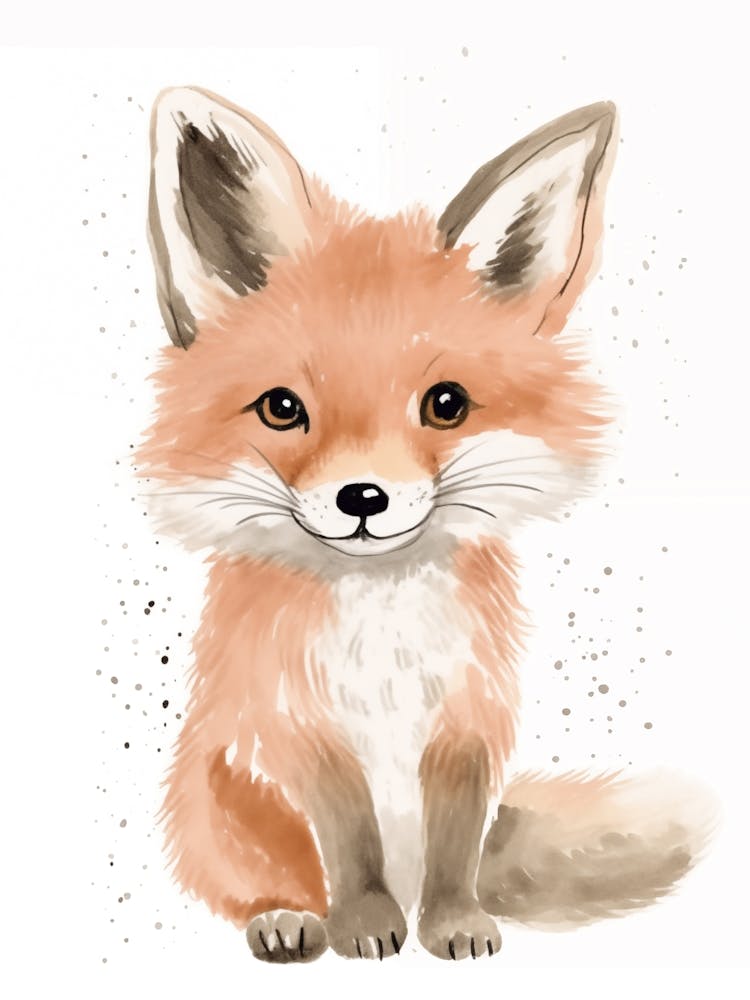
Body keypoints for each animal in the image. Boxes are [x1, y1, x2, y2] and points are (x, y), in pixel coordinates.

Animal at [139, 86, 714, 963]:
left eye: (445, 403)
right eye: (283, 408)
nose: (363, 497)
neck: (383, 631)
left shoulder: (468, 722)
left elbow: (453, 844)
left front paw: (453, 924)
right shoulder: (299, 727)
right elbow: (348, 842)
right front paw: (365, 923)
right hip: (213, 797)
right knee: (260, 878)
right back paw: (288, 918)